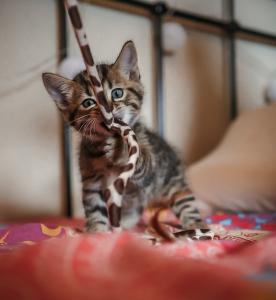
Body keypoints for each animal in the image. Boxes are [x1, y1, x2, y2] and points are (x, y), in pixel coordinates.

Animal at [42, 39, 210, 238]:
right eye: (88, 102)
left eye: (117, 93)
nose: (108, 109)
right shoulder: (92, 181)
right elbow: (95, 209)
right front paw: (95, 233)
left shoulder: (149, 167)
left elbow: (141, 160)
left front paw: (121, 148)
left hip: (172, 181)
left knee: (185, 202)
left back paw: (195, 225)